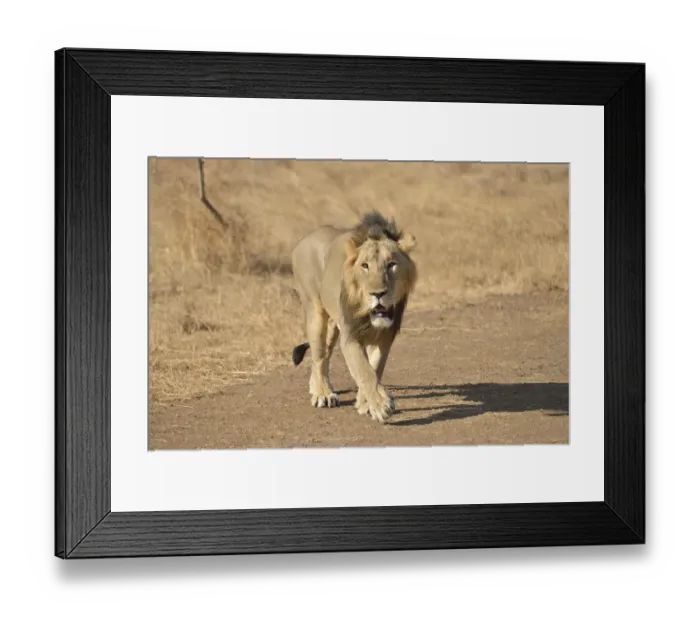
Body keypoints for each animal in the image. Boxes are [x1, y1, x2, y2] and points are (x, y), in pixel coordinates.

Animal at [290, 211, 417, 423]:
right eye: (365, 266)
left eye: (391, 265)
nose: (378, 293)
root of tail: (303, 240)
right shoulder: (350, 336)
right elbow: (364, 371)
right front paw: (380, 406)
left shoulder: (384, 336)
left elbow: (375, 367)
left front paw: (366, 404)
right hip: (315, 311)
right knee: (318, 356)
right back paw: (322, 394)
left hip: (333, 326)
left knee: (324, 356)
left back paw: (317, 388)